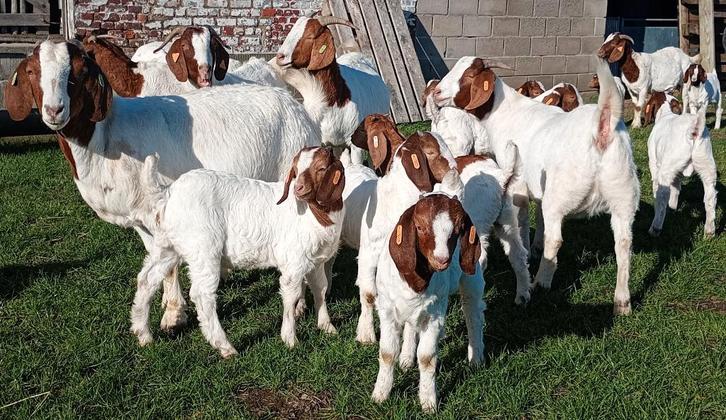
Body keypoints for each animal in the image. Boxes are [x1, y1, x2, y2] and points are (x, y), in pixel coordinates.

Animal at [4, 40, 321, 336]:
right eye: (32, 71)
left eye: (80, 72)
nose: (54, 110)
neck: (104, 138)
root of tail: (295, 105)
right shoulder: (143, 220)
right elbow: (162, 262)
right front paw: (171, 308)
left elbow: (169, 266)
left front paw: (172, 317)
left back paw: (298, 303)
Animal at [134, 147, 345, 357]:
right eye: (295, 170)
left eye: (322, 168)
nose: (298, 189)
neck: (314, 214)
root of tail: (169, 193)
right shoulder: (293, 262)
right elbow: (290, 297)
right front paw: (290, 339)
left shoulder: (316, 261)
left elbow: (321, 288)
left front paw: (327, 327)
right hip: (203, 247)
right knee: (202, 294)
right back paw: (225, 347)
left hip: (167, 245)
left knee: (146, 279)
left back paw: (143, 334)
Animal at [371, 193, 483, 413]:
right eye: (420, 227)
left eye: (458, 230)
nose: (442, 260)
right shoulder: (387, 311)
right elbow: (387, 353)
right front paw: (380, 395)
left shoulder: (434, 315)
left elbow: (427, 358)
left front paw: (428, 402)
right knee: (411, 325)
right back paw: (406, 358)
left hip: (472, 278)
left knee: (473, 313)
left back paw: (476, 358)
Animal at [433, 56, 640, 315]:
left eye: (469, 76)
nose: (436, 93)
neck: (506, 113)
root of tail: (602, 128)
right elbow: (539, 219)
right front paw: (535, 246)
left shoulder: (517, 187)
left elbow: (522, 221)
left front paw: (528, 251)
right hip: (624, 194)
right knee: (624, 243)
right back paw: (622, 301)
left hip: (561, 195)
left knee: (557, 239)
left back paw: (541, 282)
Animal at [644, 92, 717, 238]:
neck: (667, 113)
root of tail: (693, 132)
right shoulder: (677, 174)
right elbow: (676, 189)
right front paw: (673, 209)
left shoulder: (654, 164)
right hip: (707, 166)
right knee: (710, 198)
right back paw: (709, 232)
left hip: (666, 169)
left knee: (662, 196)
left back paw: (655, 228)